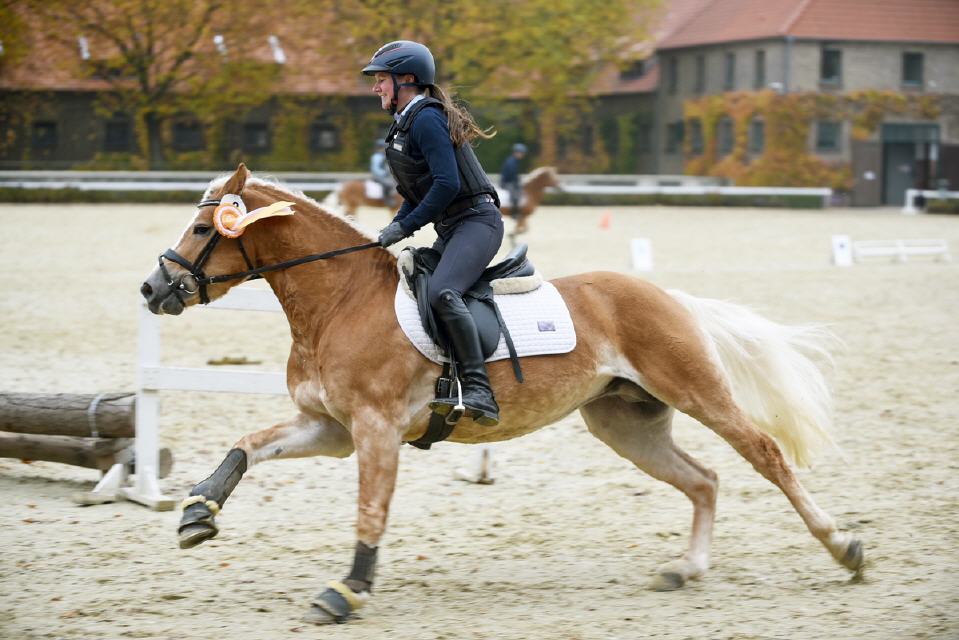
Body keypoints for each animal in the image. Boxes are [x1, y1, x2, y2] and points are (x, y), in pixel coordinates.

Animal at [139, 164, 868, 624]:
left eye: (203, 230)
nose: (152, 289)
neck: (338, 299)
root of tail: (664, 294)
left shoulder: (374, 429)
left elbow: (370, 511)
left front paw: (347, 591)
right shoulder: (332, 429)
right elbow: (248, 444)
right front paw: (198, 512)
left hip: (695, 391)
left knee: (764, 455)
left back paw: (842, 546)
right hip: (624, 423)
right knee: (703, 479)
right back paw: (685, 569)